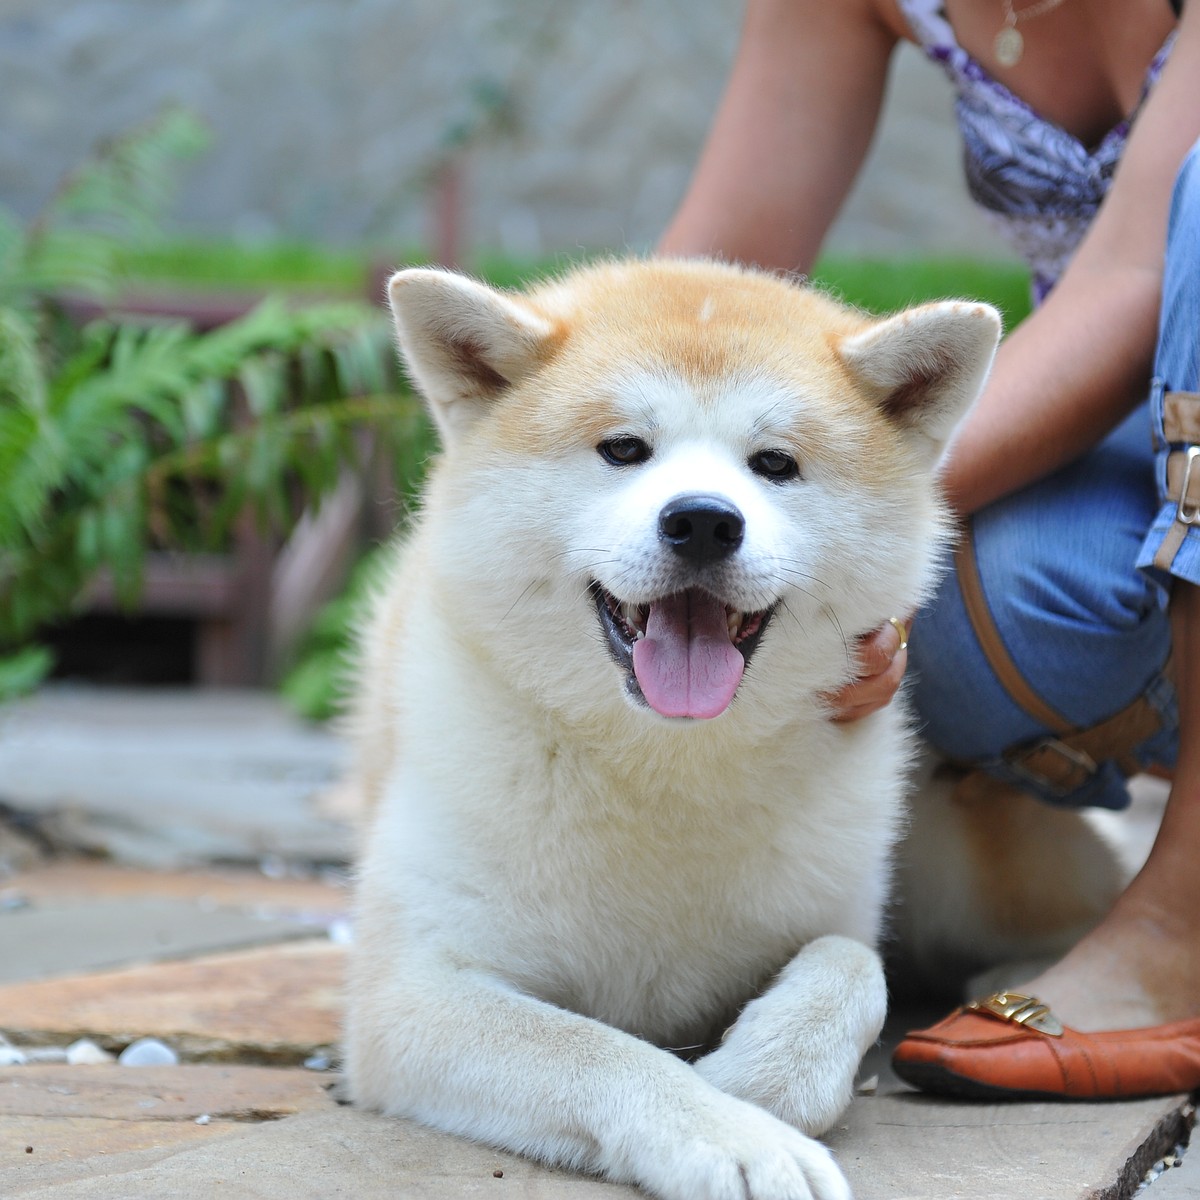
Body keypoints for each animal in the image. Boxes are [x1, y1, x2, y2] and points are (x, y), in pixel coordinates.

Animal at [343, 262, 998, 1200]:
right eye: (624, 450)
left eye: (775, 464)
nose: (703, 521)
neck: (665, 764)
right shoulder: (411, 993)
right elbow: (596, 1051)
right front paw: (731, 1133)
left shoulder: (834, 911)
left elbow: (852, 964)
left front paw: (757, 1077)